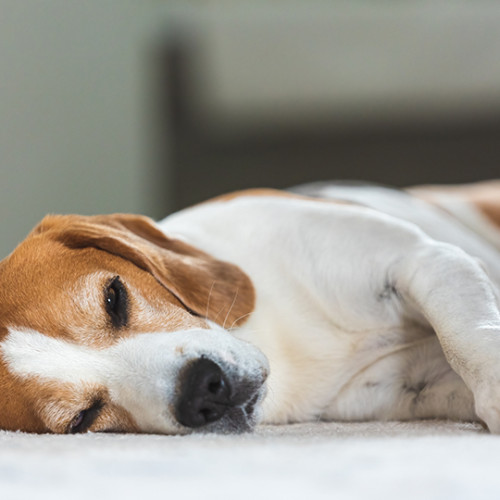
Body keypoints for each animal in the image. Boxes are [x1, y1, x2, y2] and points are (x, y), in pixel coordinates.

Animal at [0, 180, 500, 434]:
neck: (280, 339)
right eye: (82, 420)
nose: (202, 392)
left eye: (113, 298)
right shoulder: (415, 384)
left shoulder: (425, 261)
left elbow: (467, 339)